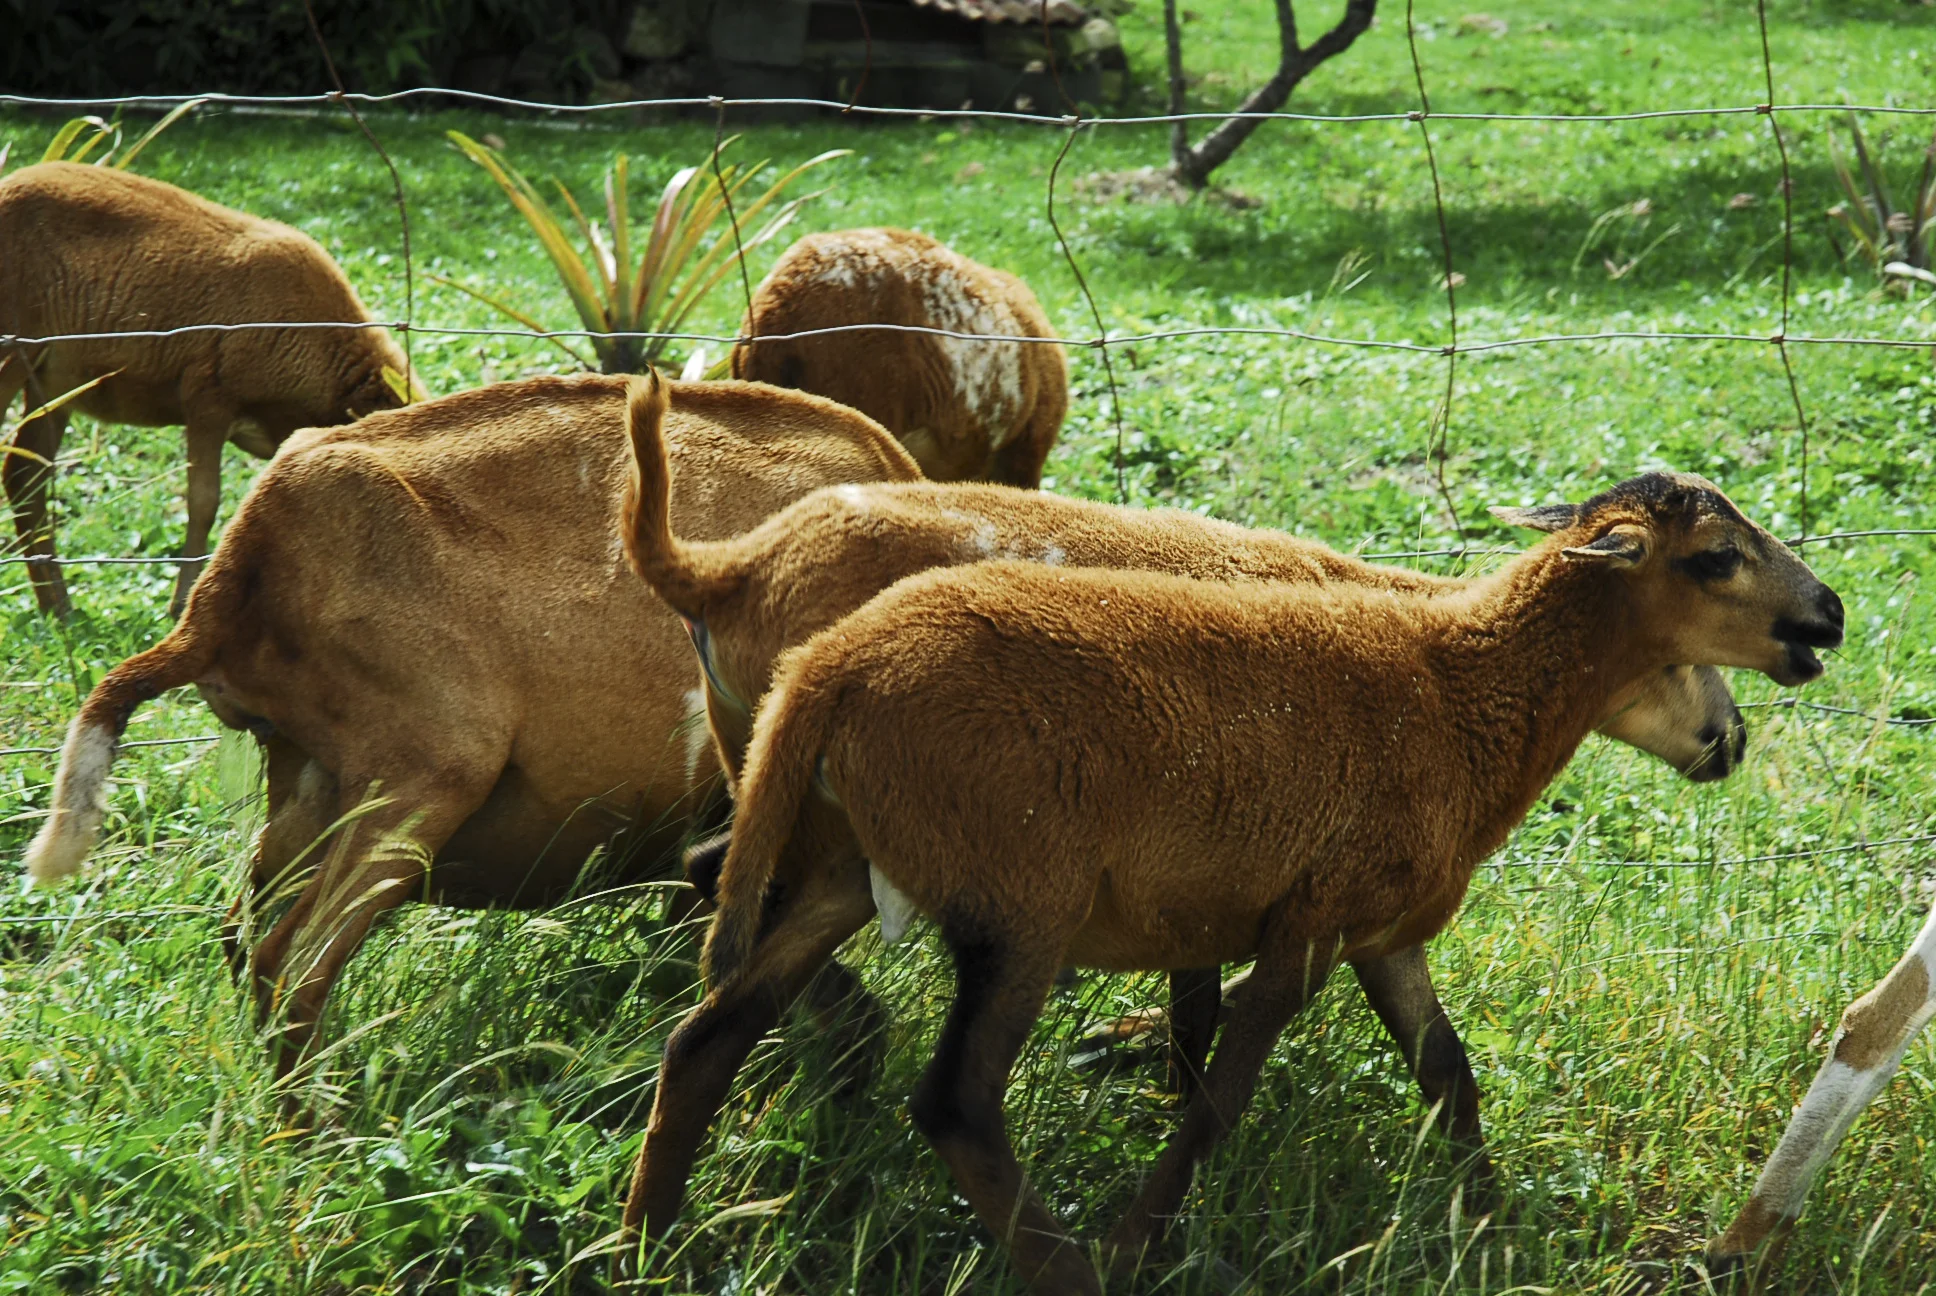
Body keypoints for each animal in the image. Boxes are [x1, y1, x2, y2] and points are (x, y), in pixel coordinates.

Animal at [0, 161, 413, 617]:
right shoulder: (207, 398)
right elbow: (204, 503)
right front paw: (183, 603)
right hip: (13, 355)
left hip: (54, 381)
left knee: (24, 475)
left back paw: (59, 608)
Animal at [621, 471, 1844, 1294]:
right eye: (1715, 558)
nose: (1827, 616)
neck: (1462, 680)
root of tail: (825, 667)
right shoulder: (1304, 925)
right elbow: (1215, 1098)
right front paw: (1142, 1239)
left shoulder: (1381, 929)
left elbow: (1448, 1075)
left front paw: (1490, 1232)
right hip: (1019, 901)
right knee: (955, 1103)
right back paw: (1075, 1269)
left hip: (845, 863)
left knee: (708, 1037)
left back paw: (648, 1242)